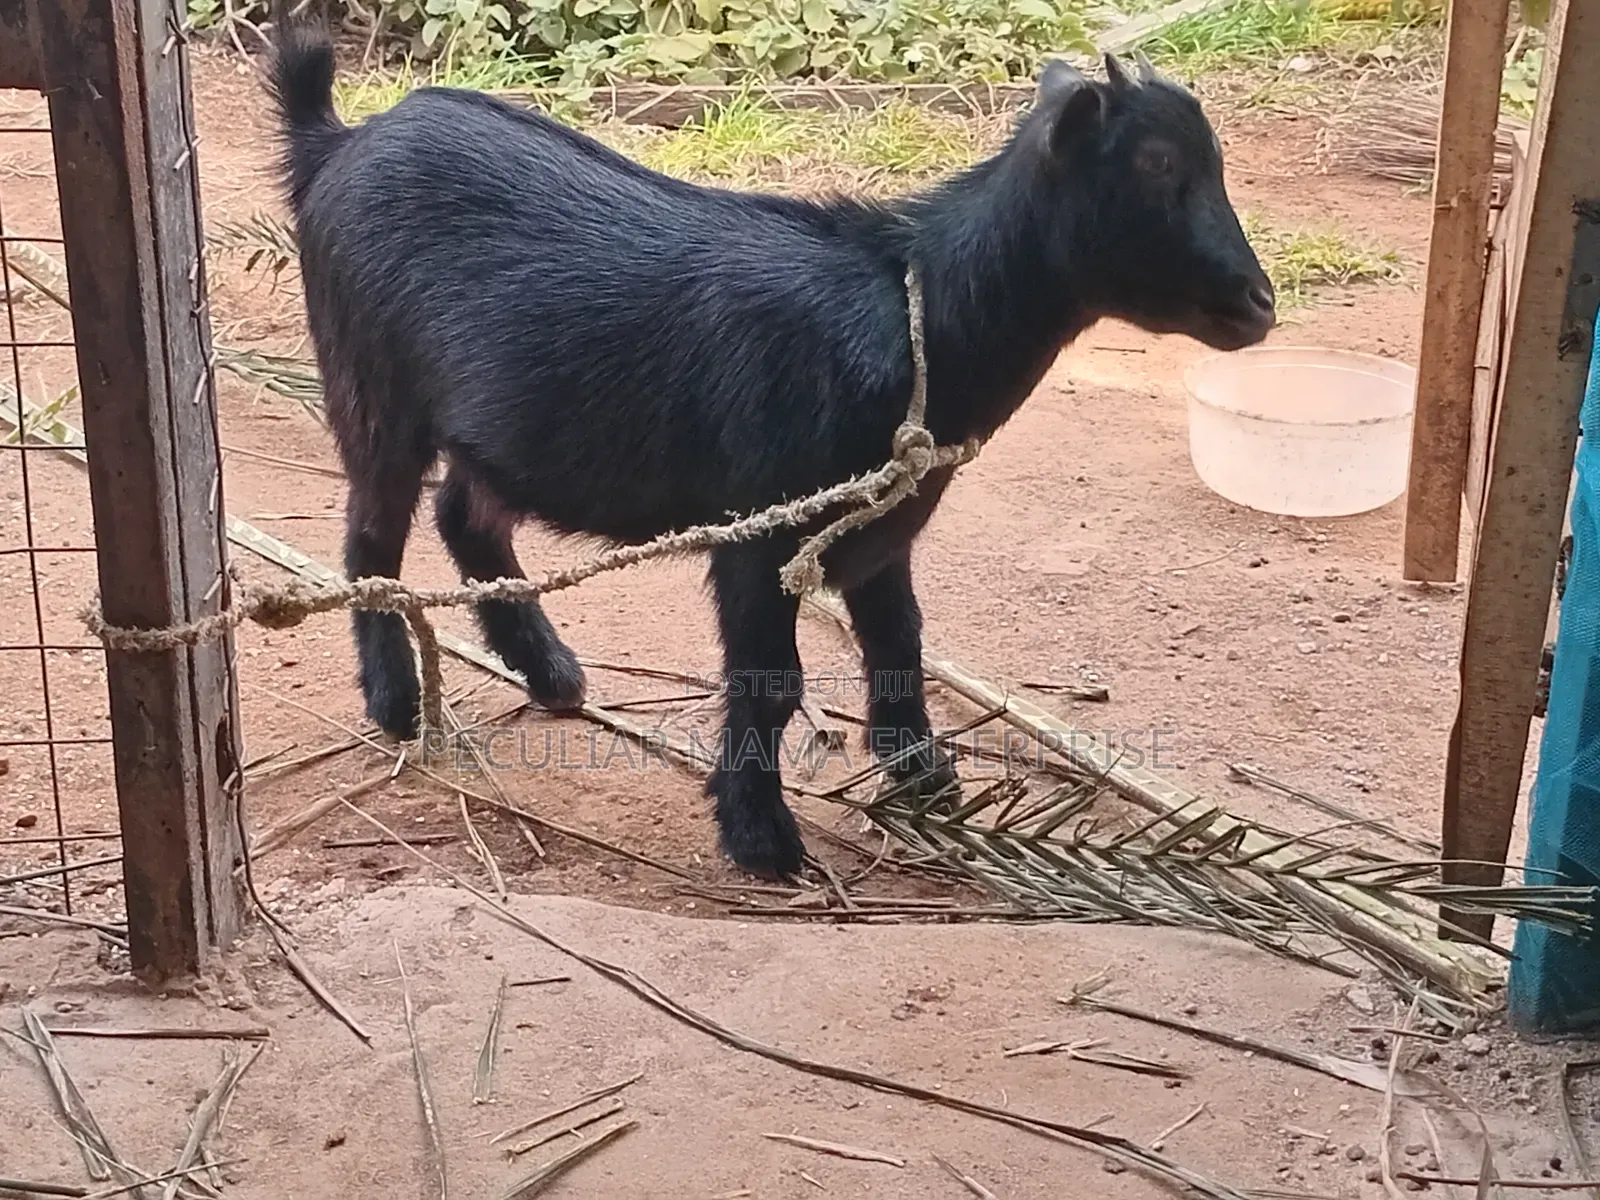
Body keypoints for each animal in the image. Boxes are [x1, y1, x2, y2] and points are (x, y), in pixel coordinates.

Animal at [269, 27, 1275, 879]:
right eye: (1157, 167)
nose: (1258, 304)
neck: (912, 313)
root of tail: (337, 140)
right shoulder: (756, 533)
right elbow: (771, 680)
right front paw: (761, 837)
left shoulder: (881, 527)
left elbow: (901, 642)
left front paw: (926, 777)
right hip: (371, 388)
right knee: (371, 541)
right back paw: (397, 703)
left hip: (502, 420)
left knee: (466, 514)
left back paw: (550, 672)